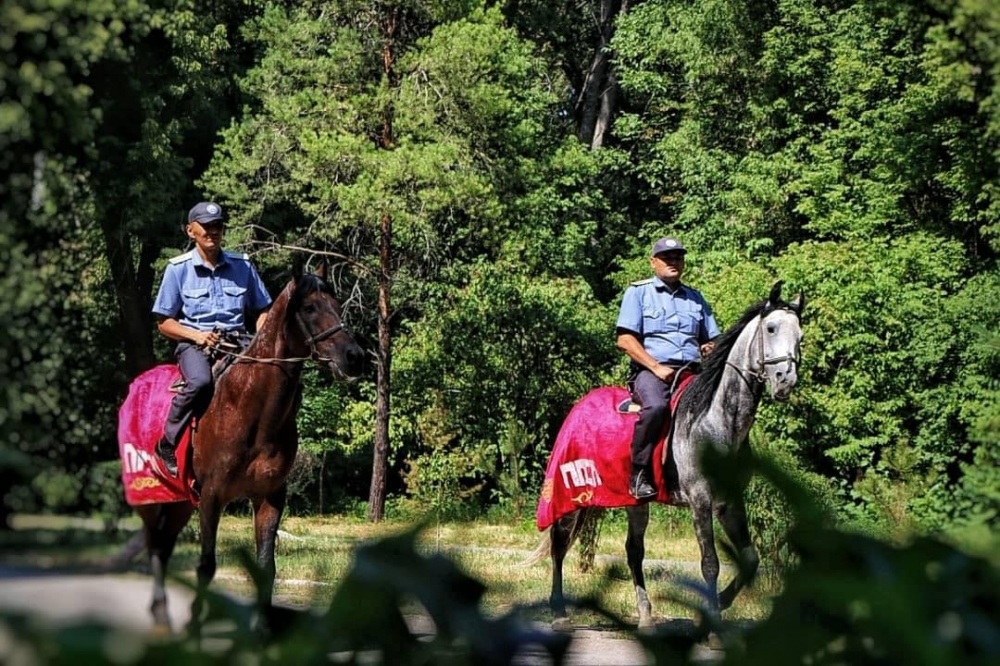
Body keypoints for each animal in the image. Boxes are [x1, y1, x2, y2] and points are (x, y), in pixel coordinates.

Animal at [135, 264, 366, 628]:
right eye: (309, 308)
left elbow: (266, 568)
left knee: (164, 546)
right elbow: (206, 566)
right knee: (156, 547)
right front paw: (195, 627)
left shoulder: (270, 497)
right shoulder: (212, 497)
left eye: (336, 303)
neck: (250, 409)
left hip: (181, 501)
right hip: (152, 499)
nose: (354, 357)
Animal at [548, 280, 804, 628]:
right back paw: (559, 611)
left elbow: (750, 560)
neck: (715, 421)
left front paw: (720, 604)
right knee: (559, 544)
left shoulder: (729, 501)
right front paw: (711, 624)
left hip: (635, 503)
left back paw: (645, 615)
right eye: (771, 327)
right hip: (572, 494)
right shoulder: (700, 499)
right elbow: (710, 562)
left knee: (634, 551)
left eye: (800, 334)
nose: (785, 381)